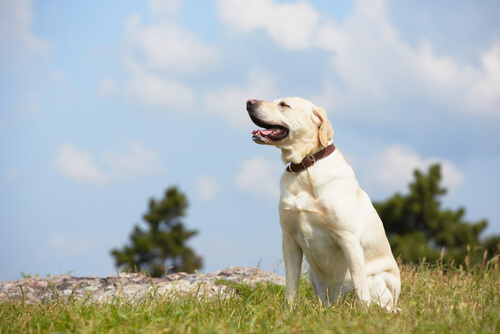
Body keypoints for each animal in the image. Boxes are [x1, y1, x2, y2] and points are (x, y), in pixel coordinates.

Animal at [247, 96, 402, 310]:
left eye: (284, 104)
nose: (249, 102)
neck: (304, 170)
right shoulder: (289, 239)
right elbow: (291, 284)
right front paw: (289, 310)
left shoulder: (348, 238)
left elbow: (359, 283)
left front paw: (364, 312)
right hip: (313, 276)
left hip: (376, 281)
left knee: (381, 302)